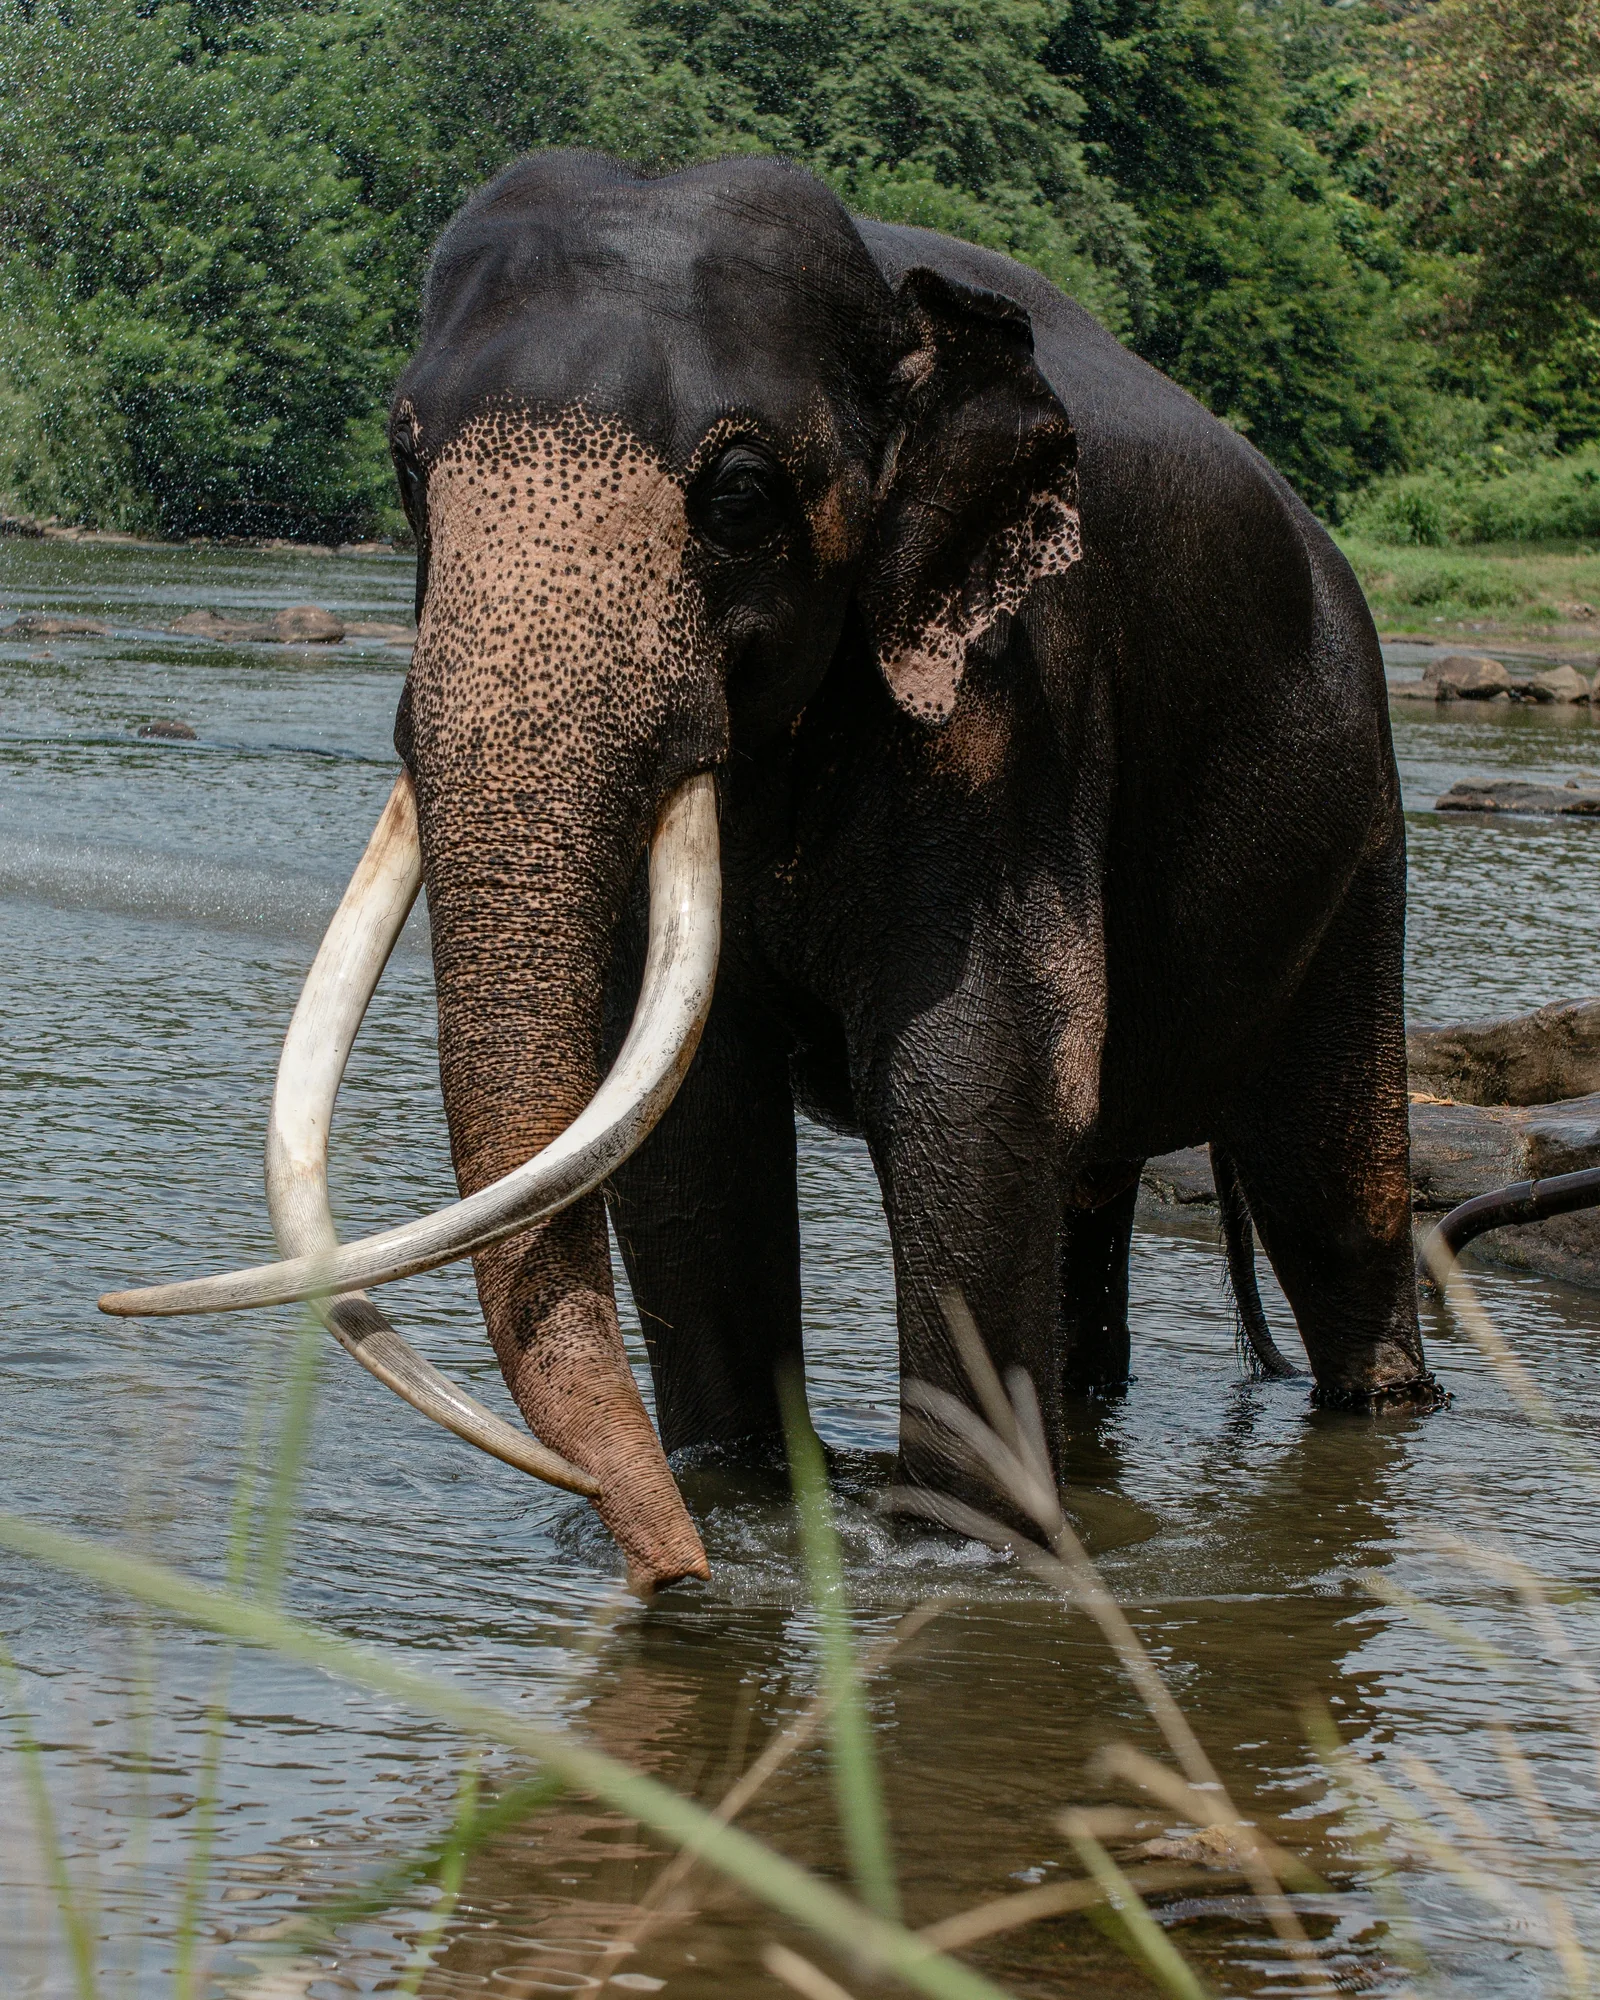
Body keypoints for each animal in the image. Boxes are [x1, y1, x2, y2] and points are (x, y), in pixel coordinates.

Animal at [105, 149, 1440, 1591]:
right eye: (408, 465)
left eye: (739, 493)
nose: (669, 1568)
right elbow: (692, 1116)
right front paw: (740, 1505)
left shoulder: (1012, 698)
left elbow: (972, 1078)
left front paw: (960, 1553)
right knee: (1096, 1195)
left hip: (1361, 831)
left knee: (1333, 1193)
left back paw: (1380, 1407)